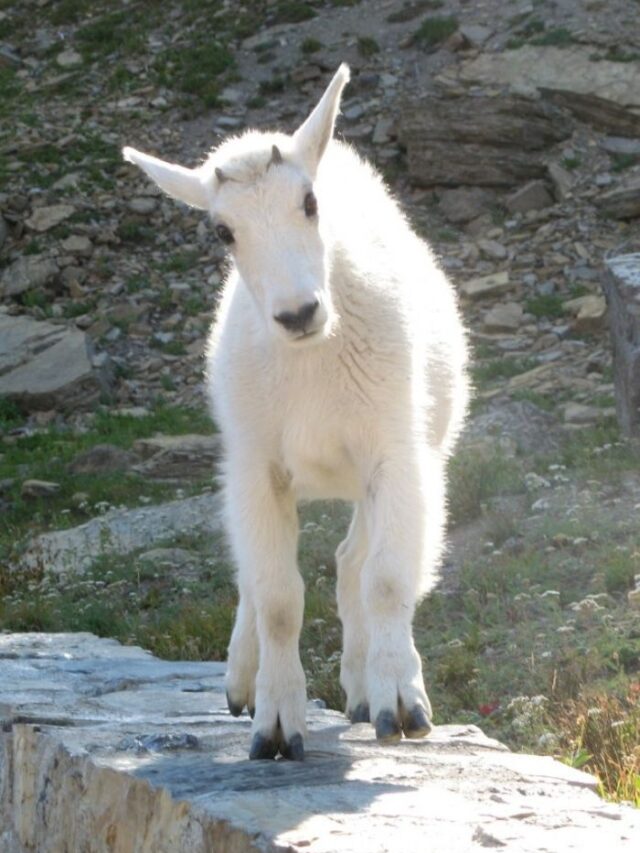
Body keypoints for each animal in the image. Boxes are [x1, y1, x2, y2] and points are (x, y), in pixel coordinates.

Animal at [122, 65, 468, 760]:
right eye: (224, 231)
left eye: (309, 203)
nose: (297, 313)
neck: (314, 361)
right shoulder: (258, 466)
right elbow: (277, 597)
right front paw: (276, 726)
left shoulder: (395, 455)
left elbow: (386, 579)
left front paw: (400, 705)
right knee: (257, 576)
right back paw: (241, 680)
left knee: (351, 561)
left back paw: (362, 691)